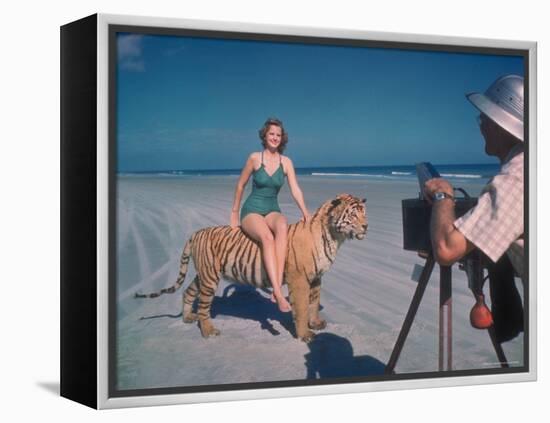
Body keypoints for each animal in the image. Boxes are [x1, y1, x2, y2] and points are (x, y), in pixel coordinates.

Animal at [135, 194, 368, 342]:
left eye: (364, 213)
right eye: (353, 214)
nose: (366, 226)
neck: (334, 237)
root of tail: (196, 232)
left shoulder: (316, 278)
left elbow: (313, 303)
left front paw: (316, 323)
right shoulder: (299, 279)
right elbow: (302, 308)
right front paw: (305, 335)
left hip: (203, 274)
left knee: (188, 291)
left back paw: (187, 318)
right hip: (209, 277)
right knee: (203, 305)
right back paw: (208, 331)